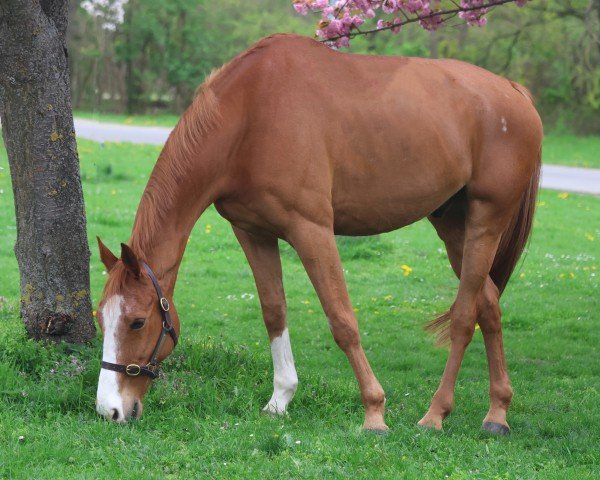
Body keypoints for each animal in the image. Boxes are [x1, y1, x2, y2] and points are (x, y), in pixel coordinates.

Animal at [95, 31, 544, 434]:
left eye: (137, 322)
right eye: (102, 317)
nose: (110, 410)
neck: (250, 115)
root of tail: (515, 92)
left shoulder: (311, 229)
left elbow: (341, 319)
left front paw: (374, 413)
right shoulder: (252, 232)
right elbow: (274, 311)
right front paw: (280, 400)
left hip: (487, 219)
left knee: (465, 316)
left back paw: (435, 415)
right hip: (453, 225)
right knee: (489, 305)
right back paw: (497, 413)